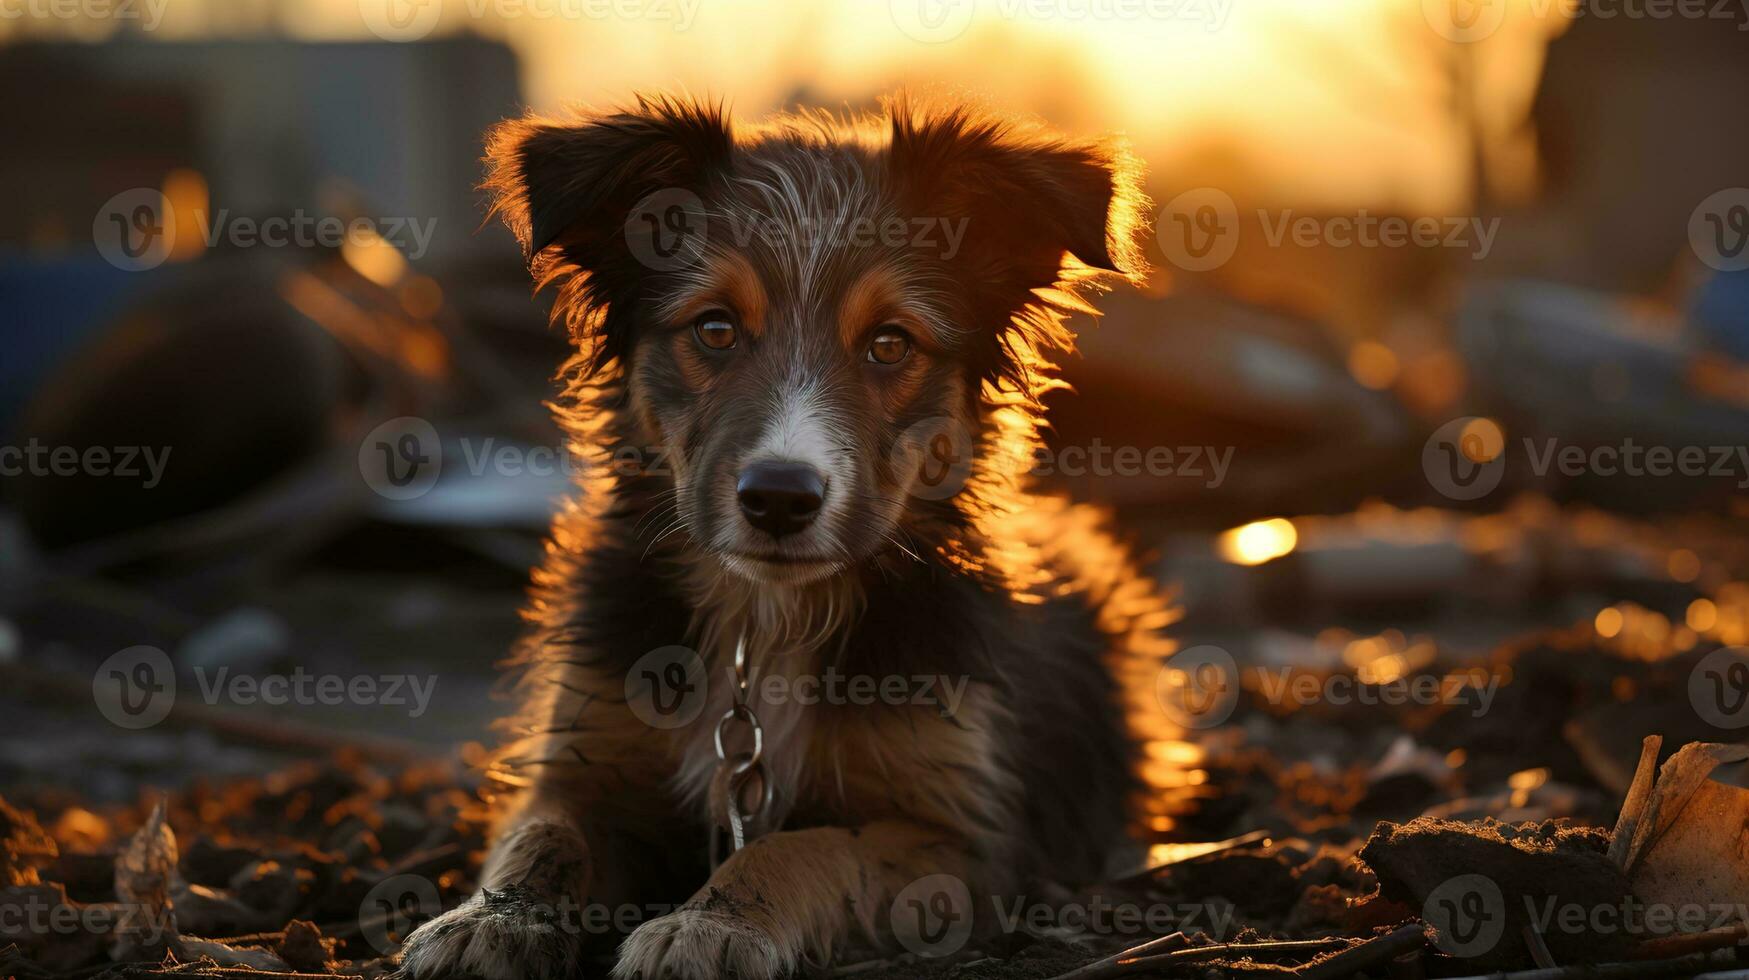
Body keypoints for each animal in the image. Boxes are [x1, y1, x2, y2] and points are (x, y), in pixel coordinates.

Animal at [397, 93, 1175, 980]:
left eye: (890, 343)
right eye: (715, 329)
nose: (778, 498)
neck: (764, 621)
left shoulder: (957, 838)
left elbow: (802, 847)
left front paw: (710, 925)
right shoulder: (585, 761)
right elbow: (544, 837)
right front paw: (494, 918)